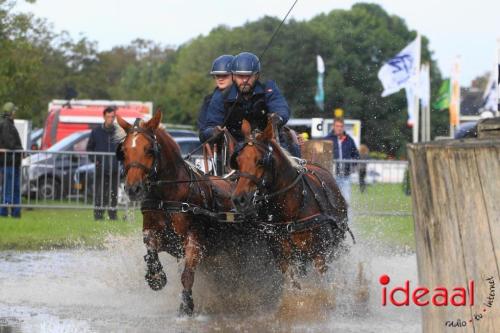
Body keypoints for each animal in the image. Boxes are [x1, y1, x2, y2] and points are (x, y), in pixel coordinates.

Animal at [115, 111, 234, 314]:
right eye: (123, 151)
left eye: (150, 150)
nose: (133, 189)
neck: (168, 196)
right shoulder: (159, 237)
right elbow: (151, 251)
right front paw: (156, 277)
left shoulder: (194, 241)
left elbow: (187, 275)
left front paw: (186, 306)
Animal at [230, 118, 352, 282]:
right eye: (238, 160)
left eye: (261, 161)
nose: (239, 199)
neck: (291, 210)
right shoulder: (284, 259)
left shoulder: (320, 256)